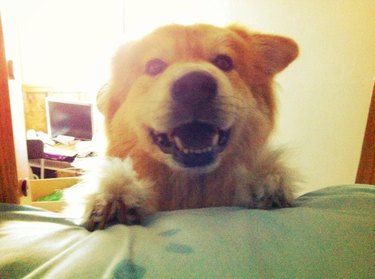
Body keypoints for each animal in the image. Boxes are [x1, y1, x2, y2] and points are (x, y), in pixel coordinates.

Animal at [78, 24, 300, 231]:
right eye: (154, 66)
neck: (189, 188)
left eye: (224, 62)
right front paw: (115, 195)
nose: (194, 86)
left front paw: (265, 183)